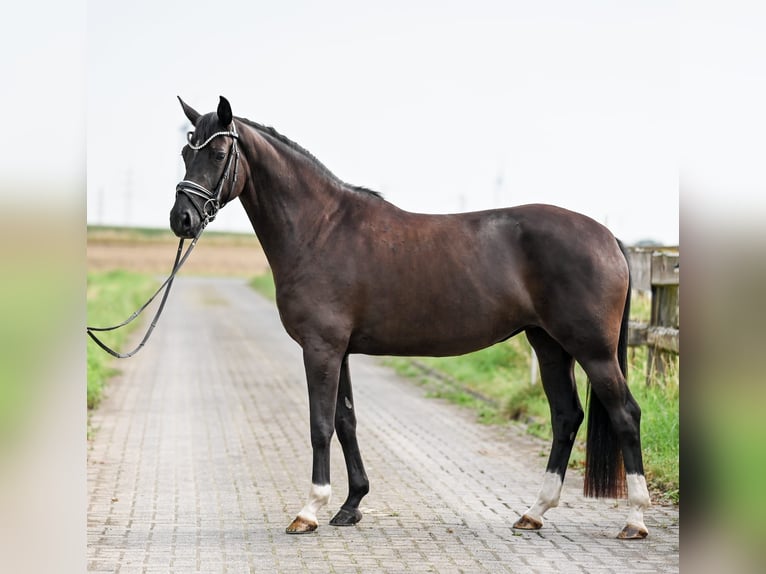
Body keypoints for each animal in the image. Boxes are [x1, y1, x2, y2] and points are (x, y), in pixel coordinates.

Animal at [171, 97, 652, 544]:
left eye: (218, 153)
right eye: (184, 152)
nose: (182, 219)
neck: (320, 229)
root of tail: (607, 236)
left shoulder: (321, 347)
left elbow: (320, 424)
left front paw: (309, 511)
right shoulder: (339, 350)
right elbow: (346, 421)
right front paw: (351, 505)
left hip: (593, 350)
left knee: (625, 414)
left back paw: (634, 520)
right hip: (549, 345)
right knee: (566, 416)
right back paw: (534, 512)